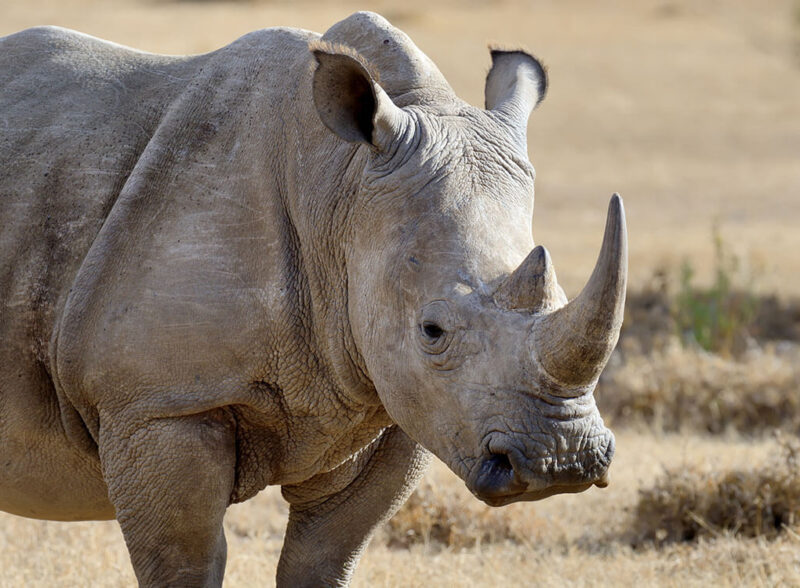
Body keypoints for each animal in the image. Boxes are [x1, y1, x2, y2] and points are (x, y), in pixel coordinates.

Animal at [0, 11, 627, 587]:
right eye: (432, 331)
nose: (562, 459)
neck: (340, 187)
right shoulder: (159, 403)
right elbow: (186, 564)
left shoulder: (397, 409)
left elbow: (323, 556)